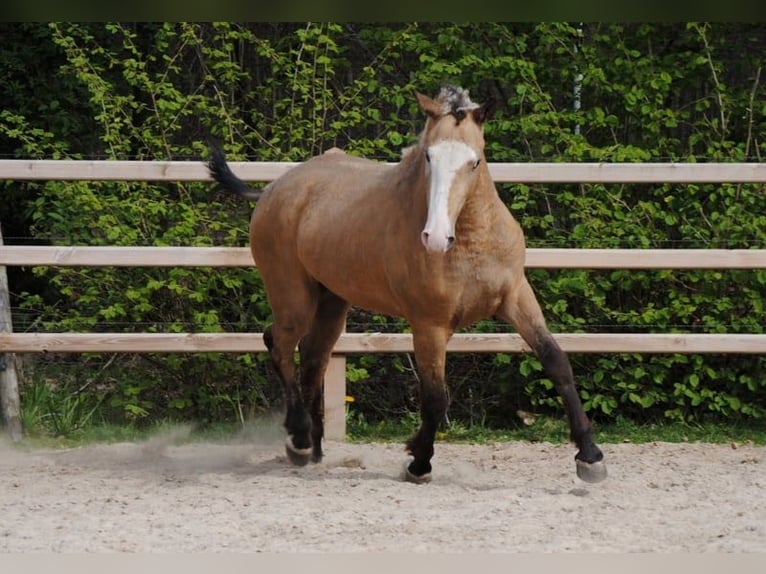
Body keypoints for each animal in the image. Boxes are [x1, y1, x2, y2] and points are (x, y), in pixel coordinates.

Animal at [208, 85, 607, 484]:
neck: (470, 242)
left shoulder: (516, 297)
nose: (435, 237)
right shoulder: (430, 324)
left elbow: (557, 362)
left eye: (475, 161)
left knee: (312, 357)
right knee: (278, 345)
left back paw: (315, 449)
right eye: (428, 157)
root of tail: (274, 188)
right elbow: (435, 397)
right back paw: (300, 440)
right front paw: (418, 462)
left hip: (333, 302)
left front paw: (590, 457)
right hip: (294, 299)